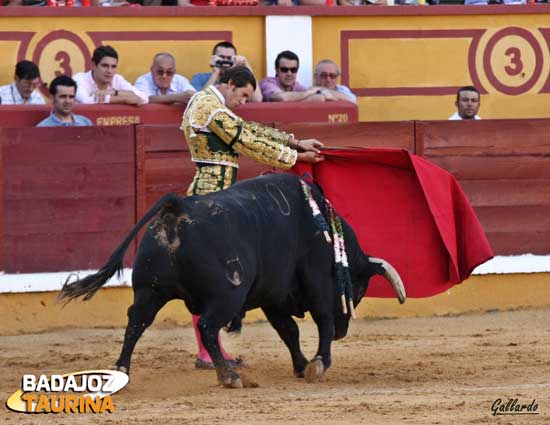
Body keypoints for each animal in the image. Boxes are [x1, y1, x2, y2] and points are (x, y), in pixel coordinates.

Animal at [60, 173, 408, 388]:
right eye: (358, 290)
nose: (343, 332)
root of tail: (178, 205)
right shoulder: (317, 280)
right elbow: (320, 319)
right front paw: (318, 364)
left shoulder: (273, 295)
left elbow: (288, 331)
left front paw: (300, 365)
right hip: (226, 296)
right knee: (207, 326)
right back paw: (229, 375)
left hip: (150, 290)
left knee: (136, 322)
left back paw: (121, 369)